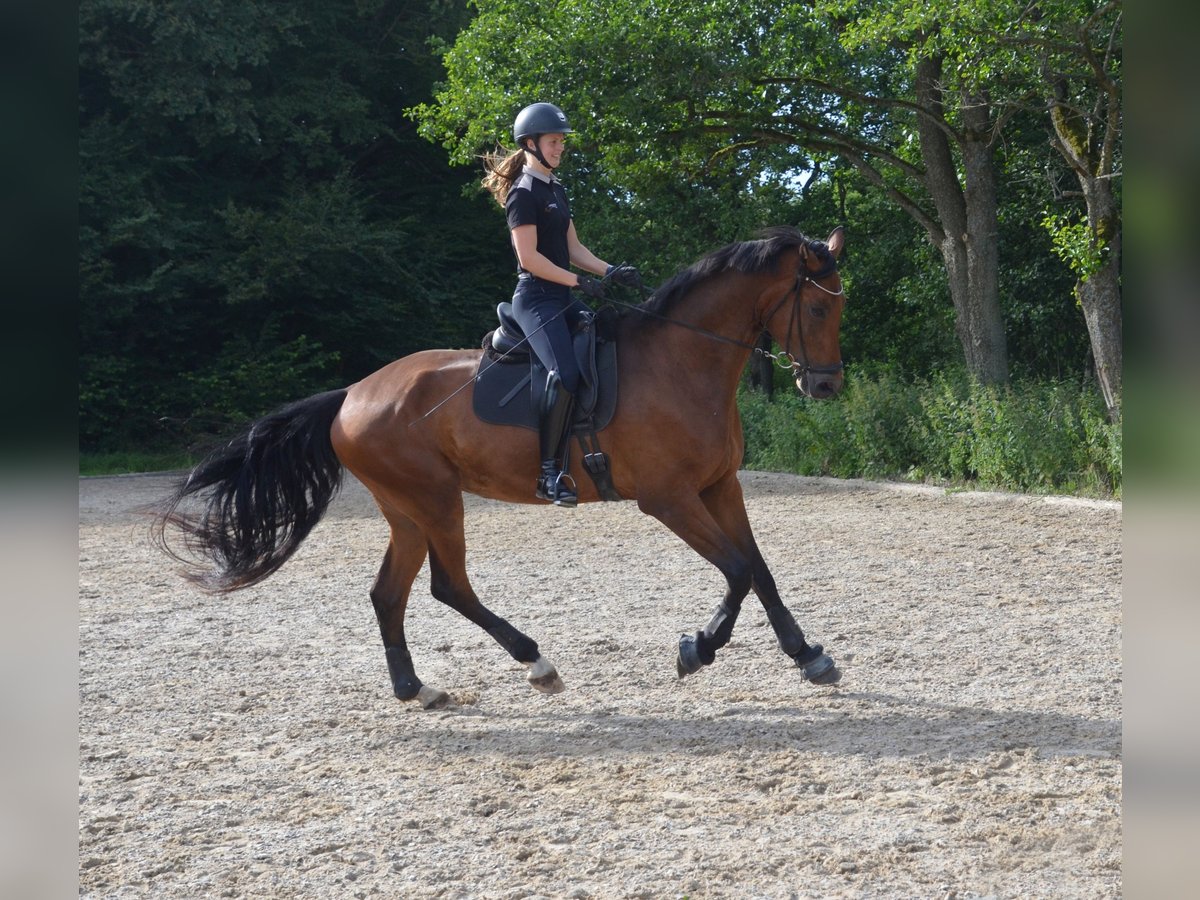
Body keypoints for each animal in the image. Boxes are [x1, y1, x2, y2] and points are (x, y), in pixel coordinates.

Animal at [154, 225, 849, 710]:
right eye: (818, 309)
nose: (826, 387)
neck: (681, 361)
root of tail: (351, 394)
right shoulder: (670, 498)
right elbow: (736, 572)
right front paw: (696, 650)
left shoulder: (719, 486)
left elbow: (759, 569)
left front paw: (807, 655)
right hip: (435, 500)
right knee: (447, 586)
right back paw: (536, 663)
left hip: (407, 510)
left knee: (389, 593)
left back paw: (417, 688)